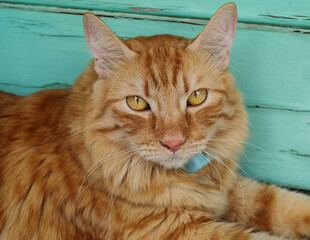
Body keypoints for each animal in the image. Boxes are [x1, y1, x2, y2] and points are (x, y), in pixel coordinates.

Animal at [0, 2, 310, 240]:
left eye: (196, 97)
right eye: (137, 103)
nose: (173, 143)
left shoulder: (235, 188)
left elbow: (289, 204)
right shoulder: (177, 230)